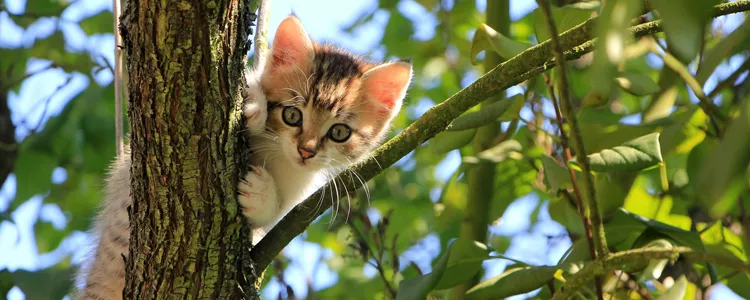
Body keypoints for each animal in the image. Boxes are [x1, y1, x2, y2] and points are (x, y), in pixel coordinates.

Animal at [77, 14, 414, 300]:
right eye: (292, 115)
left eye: (339, 132)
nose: (306, 151)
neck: (276, 153)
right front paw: (253, 104)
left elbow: (274, 216)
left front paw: (261, 194)